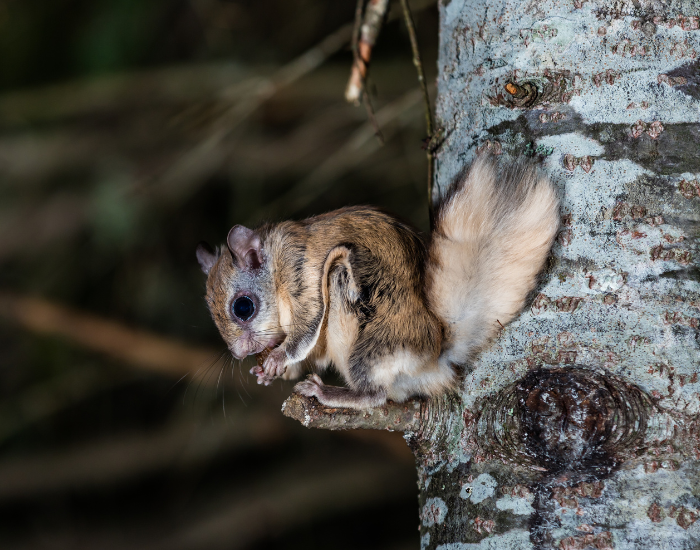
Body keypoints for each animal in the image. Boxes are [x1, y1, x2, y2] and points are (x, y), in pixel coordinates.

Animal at [196, 155, 559, 409]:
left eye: (243, 307)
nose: (239, 354)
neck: (274, 266)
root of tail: (434, 358)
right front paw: (268, 373)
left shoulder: (302, 278)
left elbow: (306, 330)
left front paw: (278, 358)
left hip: (365, 335)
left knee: (376, 395)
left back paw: (330, 393)